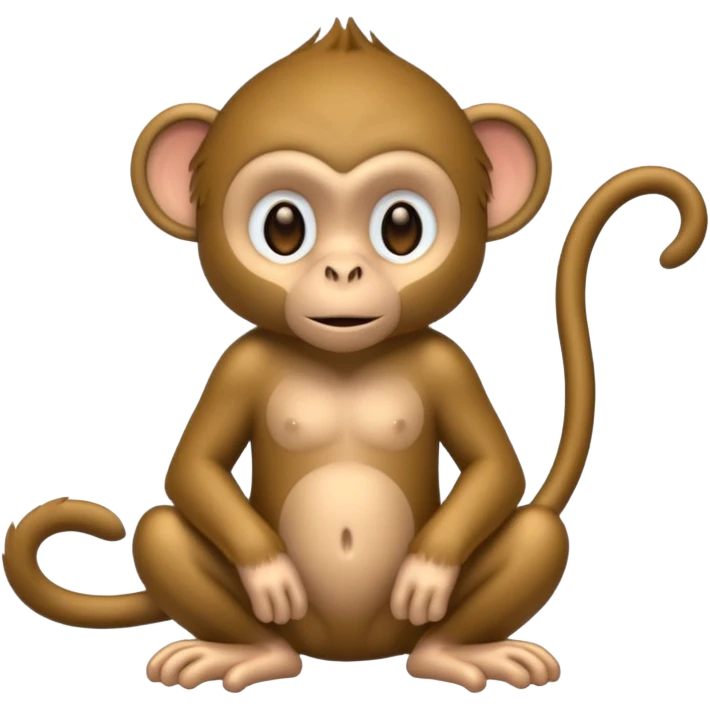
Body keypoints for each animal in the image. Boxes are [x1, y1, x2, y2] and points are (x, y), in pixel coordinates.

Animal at [2, 17, 707, 695]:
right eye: (284, 226)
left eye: (401, 226)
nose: (344, 271)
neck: (344, 359)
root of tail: (350, 653)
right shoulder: (240, 363)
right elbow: (193, 469)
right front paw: (270, 572)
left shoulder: (447, 362)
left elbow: (493, 467)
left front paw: (427, 571)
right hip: (283, 620)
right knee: (161, 532)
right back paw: (249, 653)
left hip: (415, 620)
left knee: (534, 536)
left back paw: (455, 654)